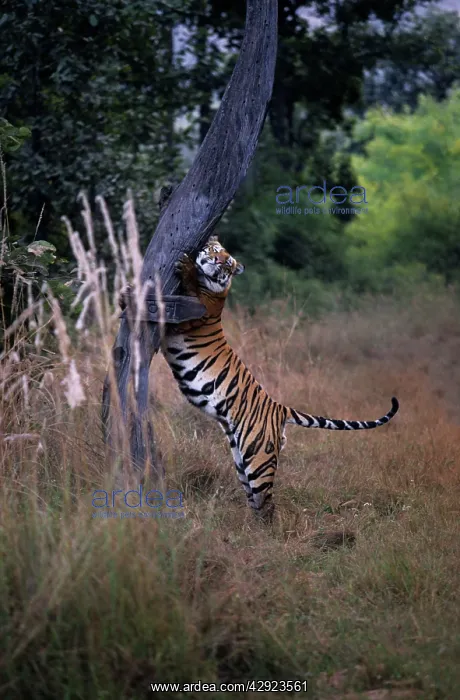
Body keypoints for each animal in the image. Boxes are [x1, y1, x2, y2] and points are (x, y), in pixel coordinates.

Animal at [162, 236, 399, 519]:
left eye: (228, 262)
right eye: (216, 251)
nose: (218, 260)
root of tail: (279, 407)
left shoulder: (191, 314)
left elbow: (186, 292)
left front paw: (185, 268)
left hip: (258, 458)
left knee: (267, 502)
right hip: (241, 459)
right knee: (255, 498)